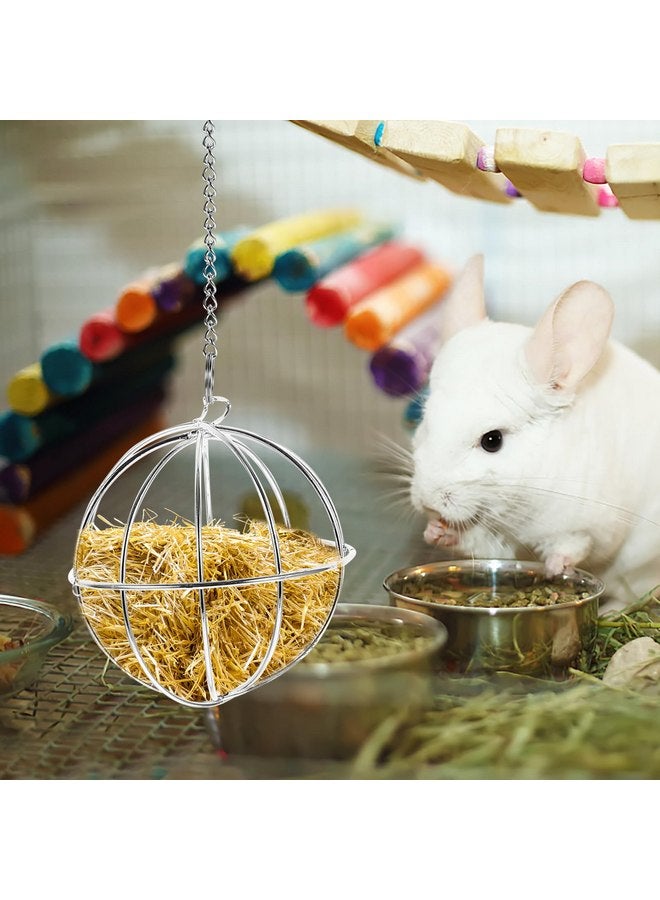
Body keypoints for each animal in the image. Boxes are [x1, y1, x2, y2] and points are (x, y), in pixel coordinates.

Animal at [409, 254, 660, 607]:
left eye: (492, 440)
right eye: (424, 420)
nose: (428, 502)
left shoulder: (591, 523)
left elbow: (574, 545)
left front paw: (555, 568)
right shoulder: (496, 541)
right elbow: (472, 541)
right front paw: (435, 531)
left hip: (639, 570)